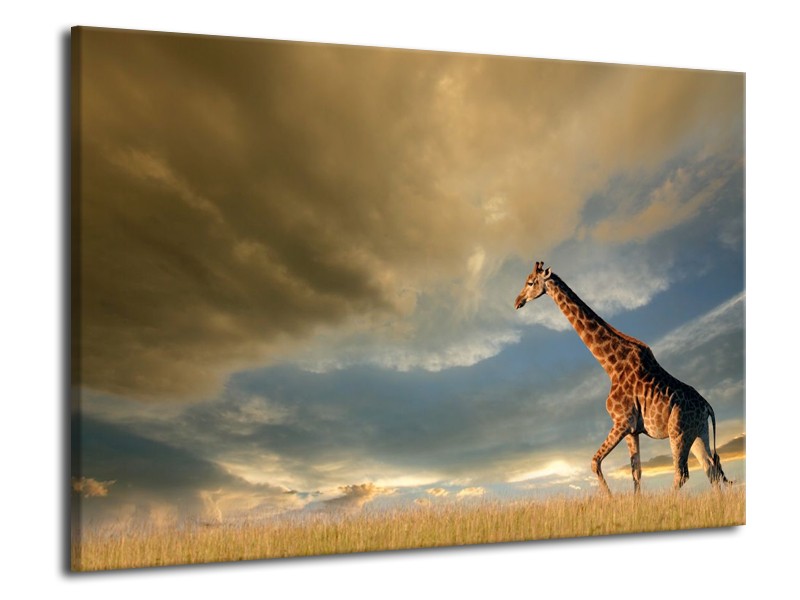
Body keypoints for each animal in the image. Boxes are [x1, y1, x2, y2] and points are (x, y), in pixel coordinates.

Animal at [514, 261, 730, 494]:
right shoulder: (632, 430)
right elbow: (636, 472)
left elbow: (595, 462)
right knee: (710, 468)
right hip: (699, 432)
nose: (517, 302)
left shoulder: (622, 421)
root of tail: (707, 406)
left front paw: (610, 498)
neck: (611, 366)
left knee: (683, 473)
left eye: (530, 282)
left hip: (678, 432)